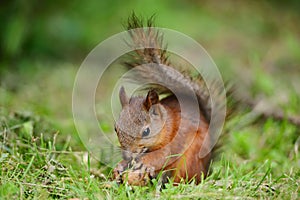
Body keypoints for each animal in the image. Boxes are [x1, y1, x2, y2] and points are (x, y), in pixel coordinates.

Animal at [112, 14, 225, 186]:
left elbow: (162, 155)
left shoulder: (173, 140)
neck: (165, 125)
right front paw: (119, 166)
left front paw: (144, 163)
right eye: (116, 129)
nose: (128, 156)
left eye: (146, 131)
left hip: (191, 159)